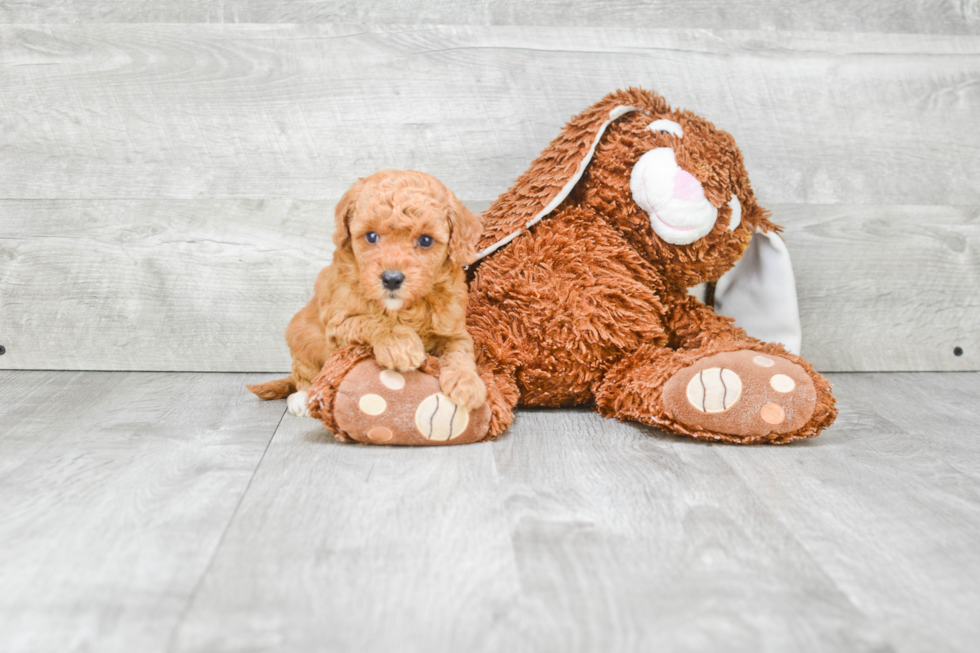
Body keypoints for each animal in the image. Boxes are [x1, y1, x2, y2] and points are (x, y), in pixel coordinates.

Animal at [249, 168, 486, 418]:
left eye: (425, 240)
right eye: (371, 236)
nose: (391, 279)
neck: (405, 308)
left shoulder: (454, 329)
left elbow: (460, 352)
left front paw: (468, 384)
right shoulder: (339, 323)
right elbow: (374, 321)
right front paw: (402, 346)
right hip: (300, 335)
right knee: (303, 375)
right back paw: (302, 398)